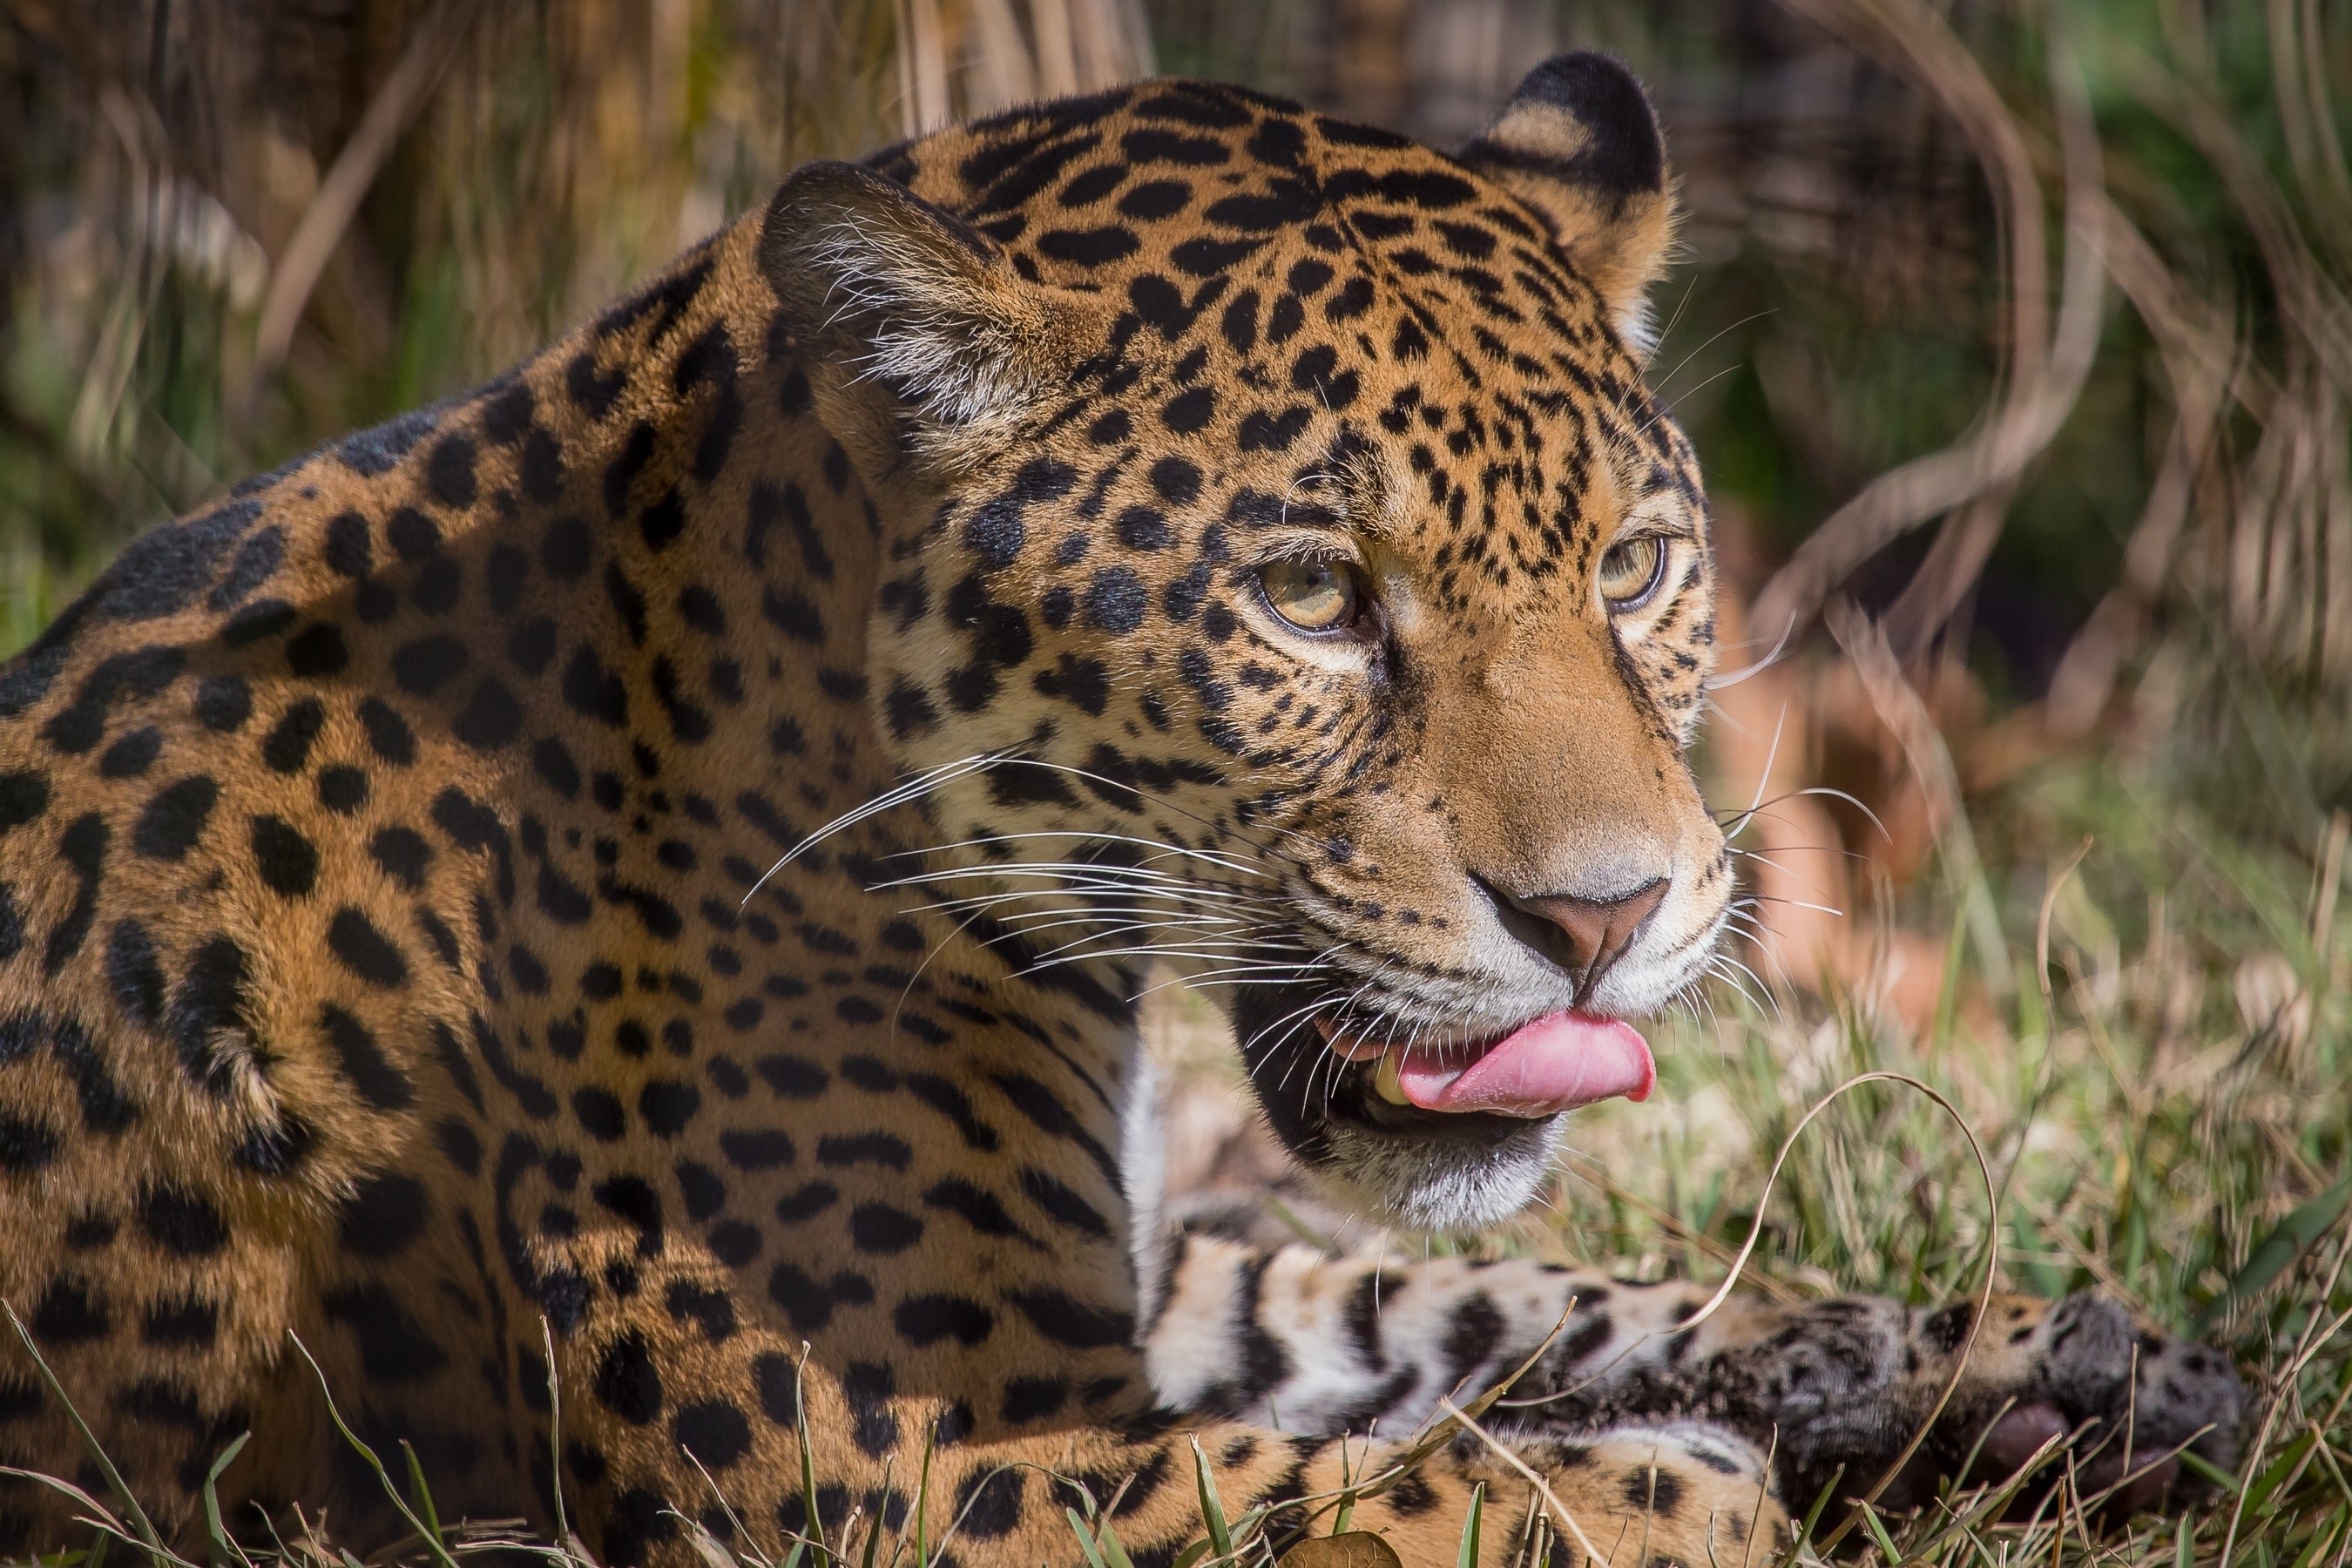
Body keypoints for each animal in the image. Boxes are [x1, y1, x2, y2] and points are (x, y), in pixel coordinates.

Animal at [0, 52, 2243, 1567]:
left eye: (1628, 570)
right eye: (1310, 600)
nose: (1605, 919)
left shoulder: (1150, 1293)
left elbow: (1516, 1296)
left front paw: (2051, 1364)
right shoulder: (910, 1473)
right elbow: (1413, 1490)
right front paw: (1663, 1478)